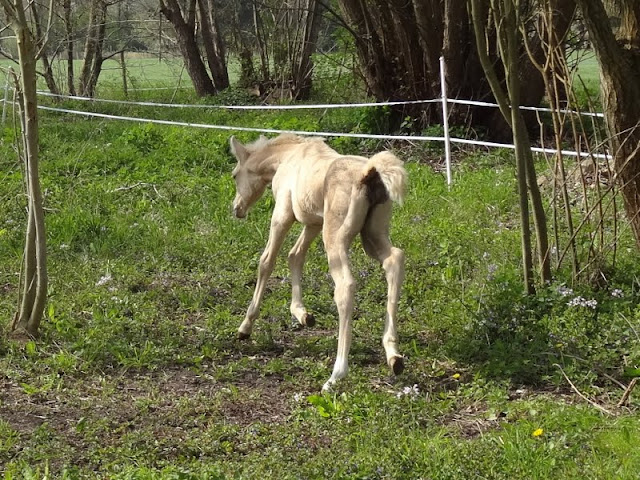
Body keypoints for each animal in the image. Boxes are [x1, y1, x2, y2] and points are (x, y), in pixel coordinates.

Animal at [230, 134, 408, 390]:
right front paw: (302, 314)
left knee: (345, 286)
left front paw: (245, 326)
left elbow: (267, 261)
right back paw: (393, 355)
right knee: (394, 260)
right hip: (372, 235)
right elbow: (295, 256)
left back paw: (337, 374)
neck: (288, 156)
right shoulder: (313, 222)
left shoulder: (282, 214)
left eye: (235, 175)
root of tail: (369, 172)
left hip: (334, 239)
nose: (237, 208)